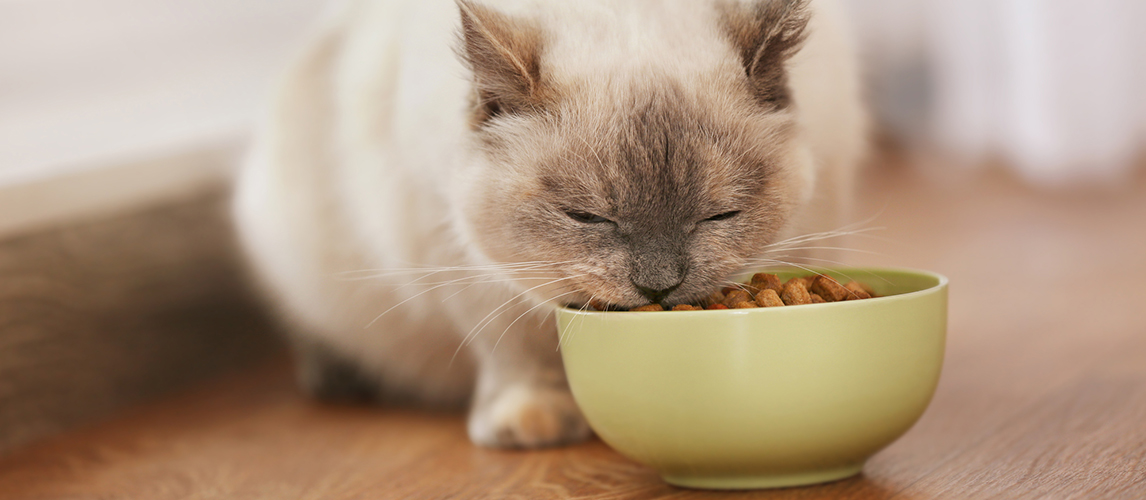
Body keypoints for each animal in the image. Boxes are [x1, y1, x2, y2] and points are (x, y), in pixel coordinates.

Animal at [230, 0, 861, 447]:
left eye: (720, 214)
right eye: (586, 216)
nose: (658, 287)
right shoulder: (463, 264)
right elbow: (515, 352)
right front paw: (536, 421)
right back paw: (335, 379)